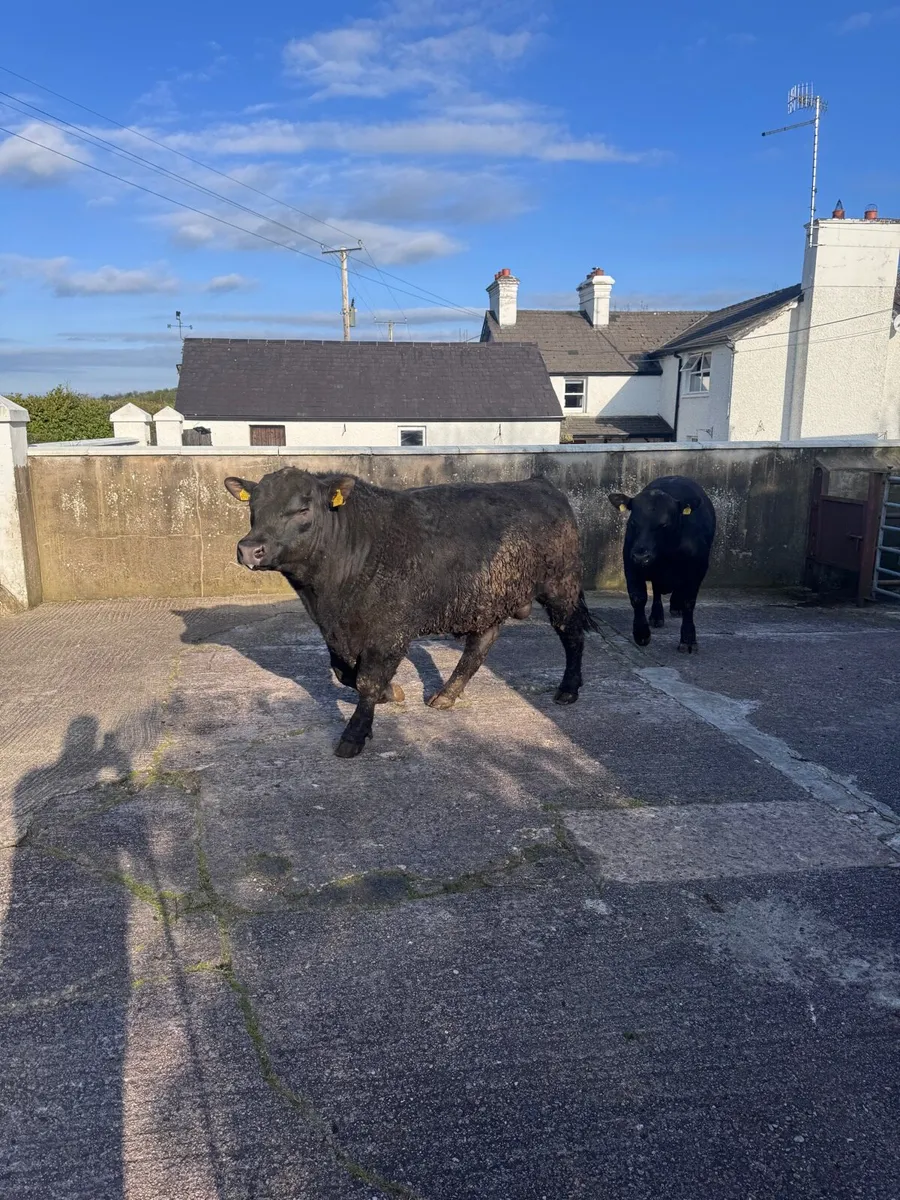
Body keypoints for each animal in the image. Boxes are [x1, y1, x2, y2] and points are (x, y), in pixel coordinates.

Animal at [225, 469, 598, 757]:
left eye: (303, 508)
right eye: (252, 507)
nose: (249, 549)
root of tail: (538, 483)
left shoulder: (389, 630)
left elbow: (366, 680)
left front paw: (354, 735)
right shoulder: (337, 632)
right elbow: (345, 673)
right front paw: (392, 693)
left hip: (561, 585)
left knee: (572, 634)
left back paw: (568, 689)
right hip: (485, 598)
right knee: (482, 642)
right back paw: (446, 695)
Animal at [607, 475, 716, 654]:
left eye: (663, 524)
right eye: (633, 522)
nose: (641, 555)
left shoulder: (697, 570)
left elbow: (689, 602)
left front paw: (688, 639)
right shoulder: (631, 565)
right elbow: (638, 598)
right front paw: (641, 634)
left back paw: (676, 607)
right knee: (657, 591)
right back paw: (656, 616)